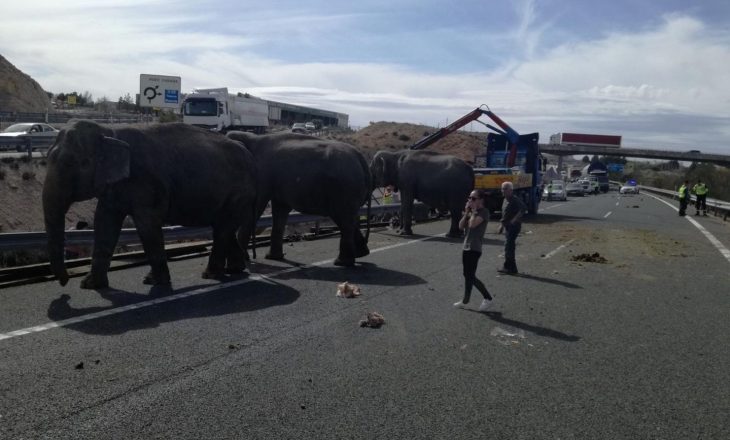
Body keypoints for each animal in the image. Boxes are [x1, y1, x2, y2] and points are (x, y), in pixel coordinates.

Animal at [42, 120, 258, 290]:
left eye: (77, 163)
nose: (64, 282)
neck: (109, 131)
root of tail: (248, 154)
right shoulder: (114, 186)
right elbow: (104, 222)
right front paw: (90, 285)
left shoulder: (146, 182)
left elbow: (146, 224)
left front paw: (154, 281)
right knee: (223, 228)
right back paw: (234, 269)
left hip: (238, 193)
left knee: (223, 228)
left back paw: (211, 274)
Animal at [225, 131, 370, 266]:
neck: (252, 137)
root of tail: (360, 157)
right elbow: (280, 211)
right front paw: (272, 258)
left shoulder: (262, 176)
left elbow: (256, 208)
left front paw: (245, 259)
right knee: (347, 219)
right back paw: (361, 254)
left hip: (344, 188)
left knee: (343, 219)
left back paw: (341, 262)